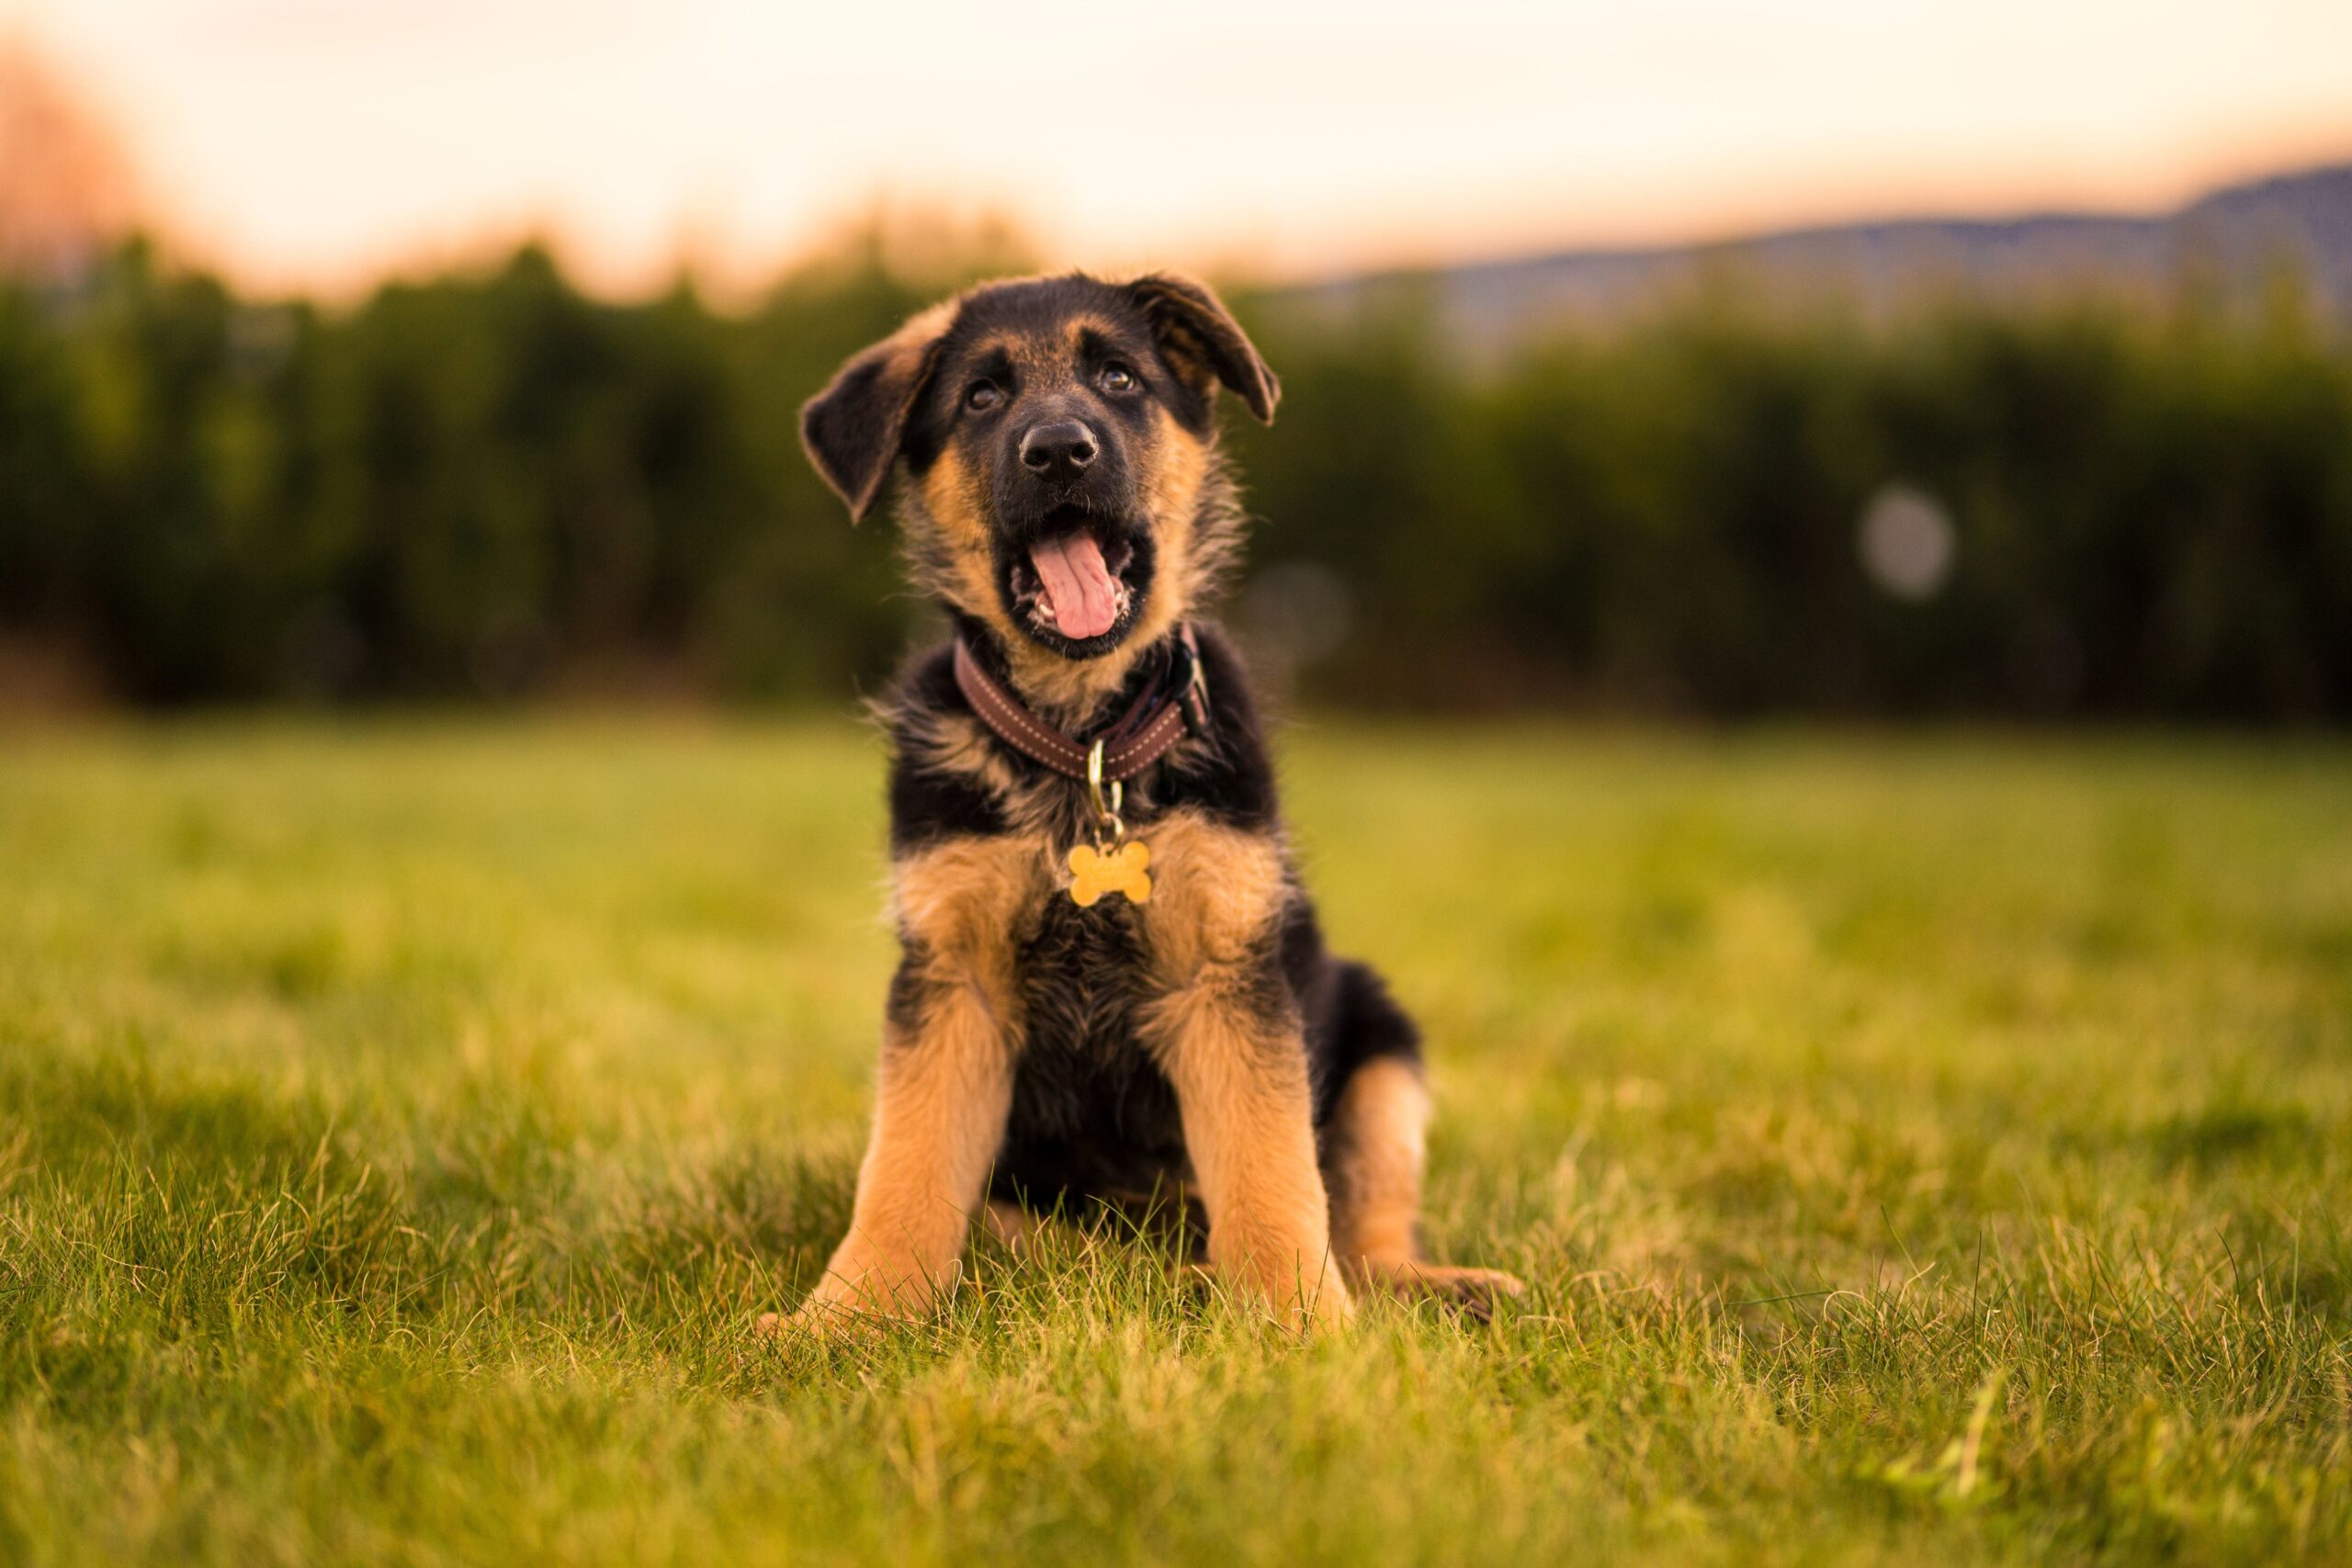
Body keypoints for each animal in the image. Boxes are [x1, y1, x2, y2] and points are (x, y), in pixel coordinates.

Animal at [780, 276, 1514, 1335]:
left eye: (1119, 378)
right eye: (981, 398)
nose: (1059, 450)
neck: (1082, 742)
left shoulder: (1226, 978)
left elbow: (1272, 1169)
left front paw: (1303, 1325)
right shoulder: (952, 982)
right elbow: (904, 1169)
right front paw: (846, 1318)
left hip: (1383, 1045)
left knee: (1364, 1231)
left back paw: (1426, 1285)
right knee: (1045, 1239)